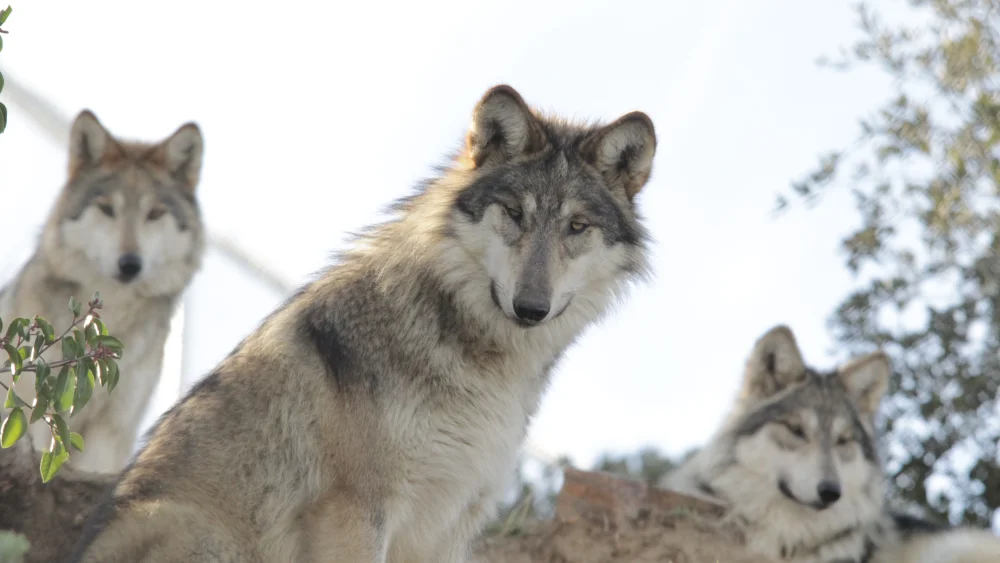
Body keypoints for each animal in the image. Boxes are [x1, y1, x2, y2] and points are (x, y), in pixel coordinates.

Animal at [62, 85, 656, 563]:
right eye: (514, 213)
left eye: (576, 226)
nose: (531, 307)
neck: (477, 365)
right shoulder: (357, 511)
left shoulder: (451, 523)